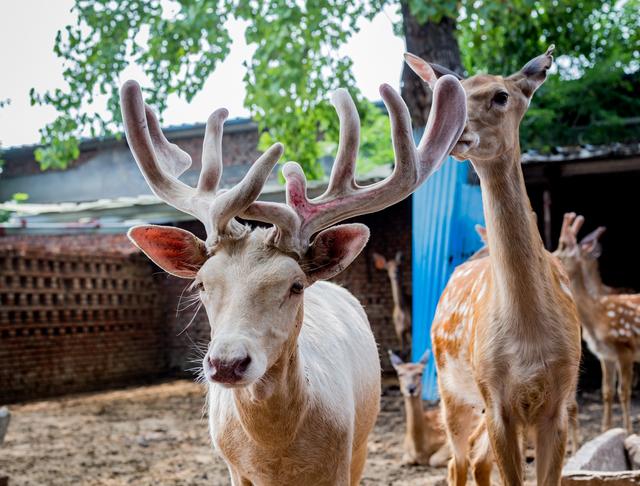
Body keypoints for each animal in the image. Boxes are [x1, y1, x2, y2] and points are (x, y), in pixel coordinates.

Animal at [119, 71, 464, 482]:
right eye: (202, 283)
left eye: (295, 285)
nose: (227, 364)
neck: (276, 454)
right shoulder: (235, 469)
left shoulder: (341, 460)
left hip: (363, 440)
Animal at [408, 46, 584, 486]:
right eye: (445, 94)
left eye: (501, 96)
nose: (451, 130)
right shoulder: (496, 396)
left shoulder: (559, 402)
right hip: (453, 390)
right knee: (457, 461)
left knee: (478, 461)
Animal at [556, 211, 640, 430]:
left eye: (562, 253)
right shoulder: (606, 354)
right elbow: (607, 392)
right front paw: (606, 429)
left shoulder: (624, 348)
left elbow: (623, 392)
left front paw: (628, 430)